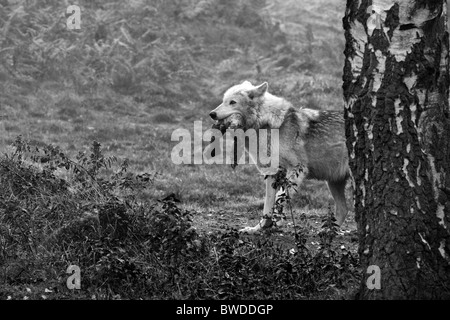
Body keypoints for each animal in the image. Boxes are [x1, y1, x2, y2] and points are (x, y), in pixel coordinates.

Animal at [209, 81, 350, 234]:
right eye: (223, 101)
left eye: (232, 102)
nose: (212, 114)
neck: (267, 124)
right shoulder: (271, 174)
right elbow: (267, 206)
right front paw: (259, 228)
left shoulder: (297, 169)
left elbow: (279, 198)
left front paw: (277, 222)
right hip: (333, 183)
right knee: (344, 209)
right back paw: (328, 232)